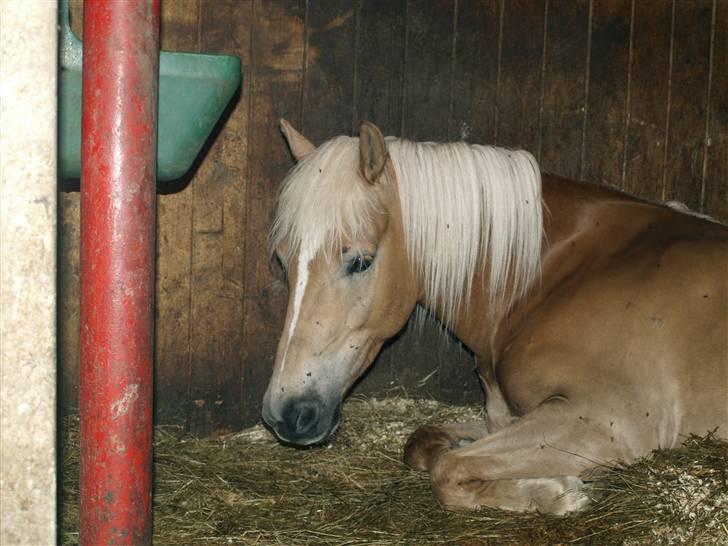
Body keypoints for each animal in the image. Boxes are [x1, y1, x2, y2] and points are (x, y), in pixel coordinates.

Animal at [262, 117, 728, 512]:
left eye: (360, 261)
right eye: (284, 261)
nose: (286, 413)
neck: (558, 276)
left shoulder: (609, 420)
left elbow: (448, 470)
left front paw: (556, 493)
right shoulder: (507, 418)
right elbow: (424, 442)